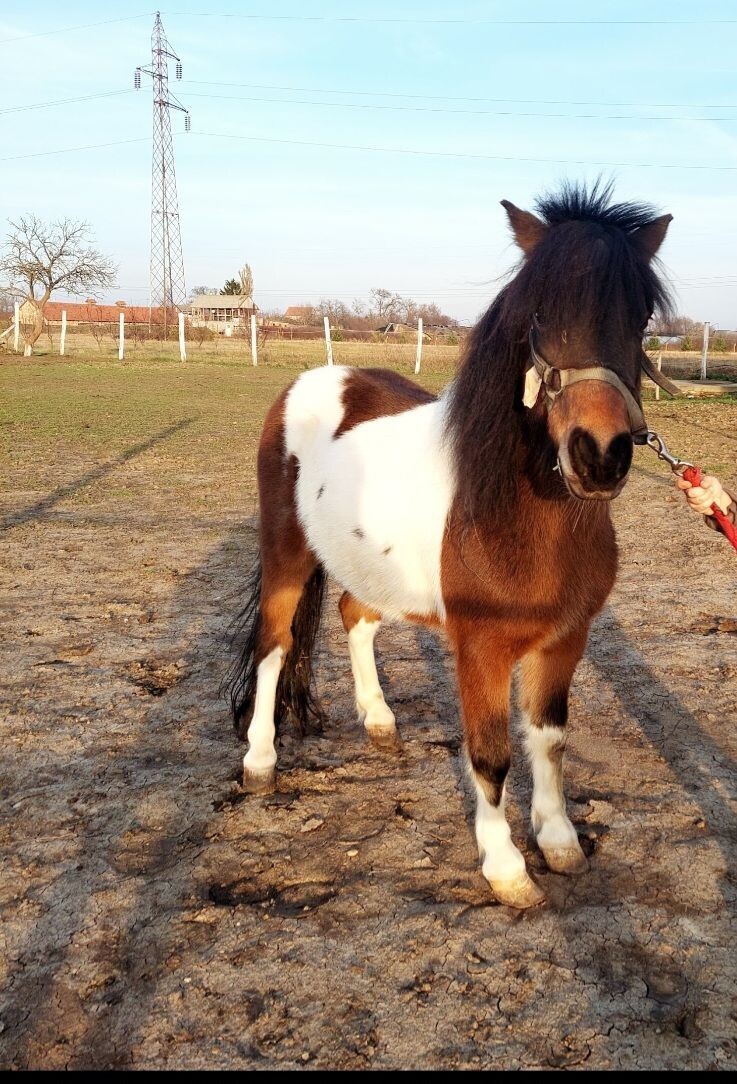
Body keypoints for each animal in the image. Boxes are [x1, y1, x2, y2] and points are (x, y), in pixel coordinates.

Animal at [227, 182, 672, 909]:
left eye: (640, 316)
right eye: (539, 313)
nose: (599, 456)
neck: (518, 514)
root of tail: (313, 380)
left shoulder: (564, 639)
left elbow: (548, 739)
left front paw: (559, 843)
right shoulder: (481, 648)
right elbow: (489, 756)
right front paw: (507, 869)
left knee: (353, 617)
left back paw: (379, 720)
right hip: (285, 553)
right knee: (274, 645)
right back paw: (261, 761)